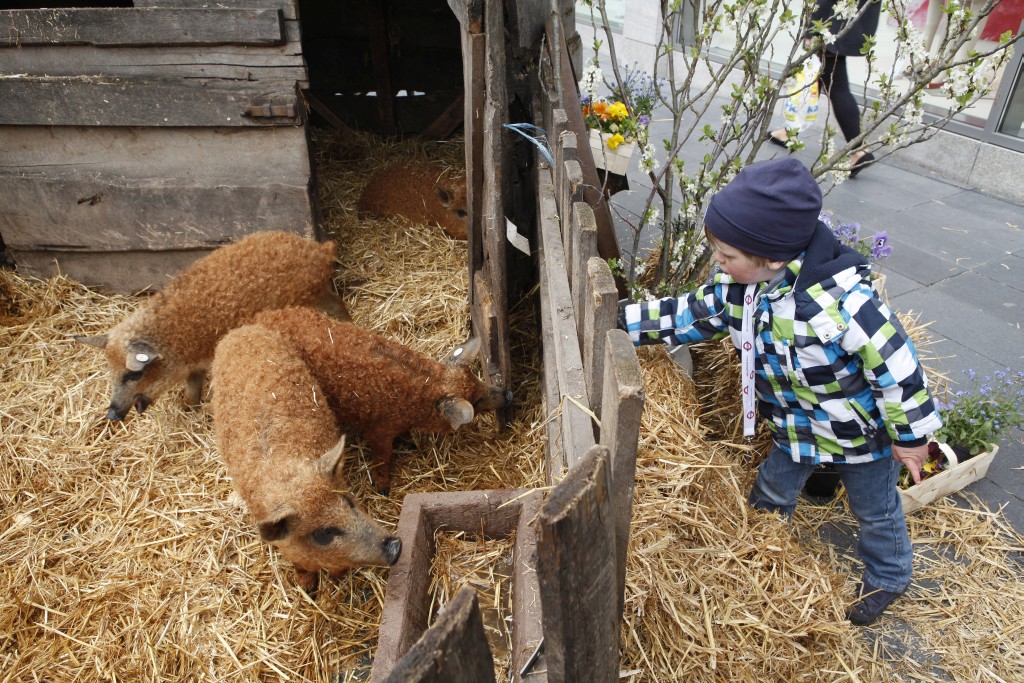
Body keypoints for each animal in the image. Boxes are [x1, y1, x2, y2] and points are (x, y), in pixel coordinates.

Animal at [75, 230, 350, 420]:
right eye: (111, 371)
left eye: (133, 374)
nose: (111, 414)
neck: (173, 339)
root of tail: (319, 251)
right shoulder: (193, 367)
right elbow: (193, 389)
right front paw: (190, 410)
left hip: (313, 296)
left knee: (338, 304)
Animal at [211, 323, 401, 594]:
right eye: (323, 534)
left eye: (349, 502)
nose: (396, 547)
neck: (290, 478)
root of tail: (241, 330)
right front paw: (307, 587)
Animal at [251, 306, 513, 495]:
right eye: (477, 400)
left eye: (478, 380)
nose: (508, 394)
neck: (417, 400)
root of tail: (258, 318)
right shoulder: (378, 430)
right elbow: (382, 458)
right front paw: (383, 489)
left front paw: (409, 443)